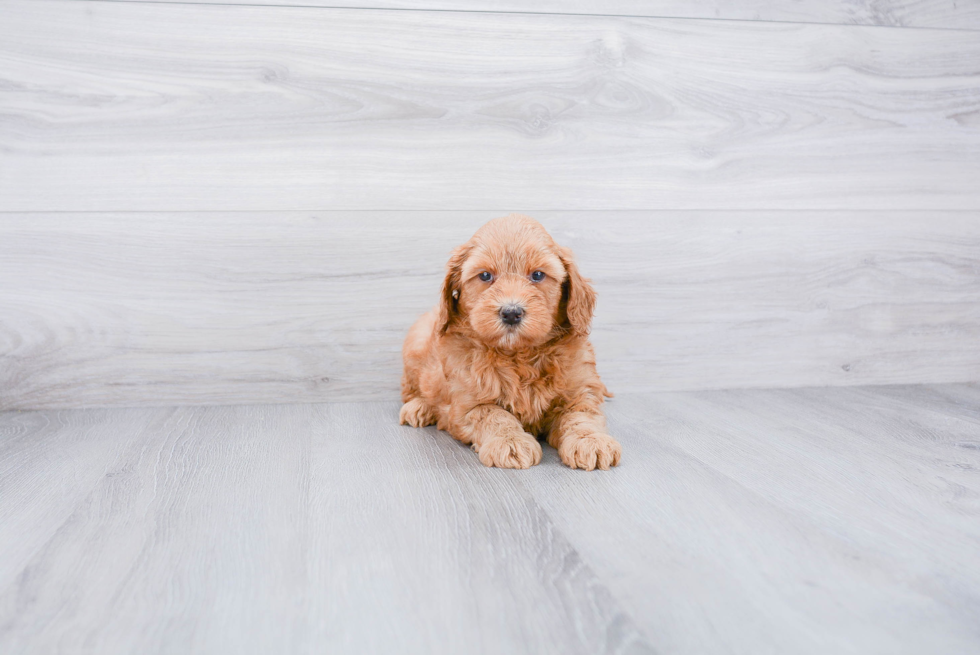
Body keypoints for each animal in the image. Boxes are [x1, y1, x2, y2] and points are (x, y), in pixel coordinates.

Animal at [398, 215, 620, 472]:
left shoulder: (580, 392)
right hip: (415, 345)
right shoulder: (466, 404)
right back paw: (419, 408)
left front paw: (591, 441)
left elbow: (582, 415)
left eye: (537, 275)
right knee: (412, 389)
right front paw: (510, 441)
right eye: (485, 276)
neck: (518, 354)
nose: (511, 313)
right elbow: (492, 414)